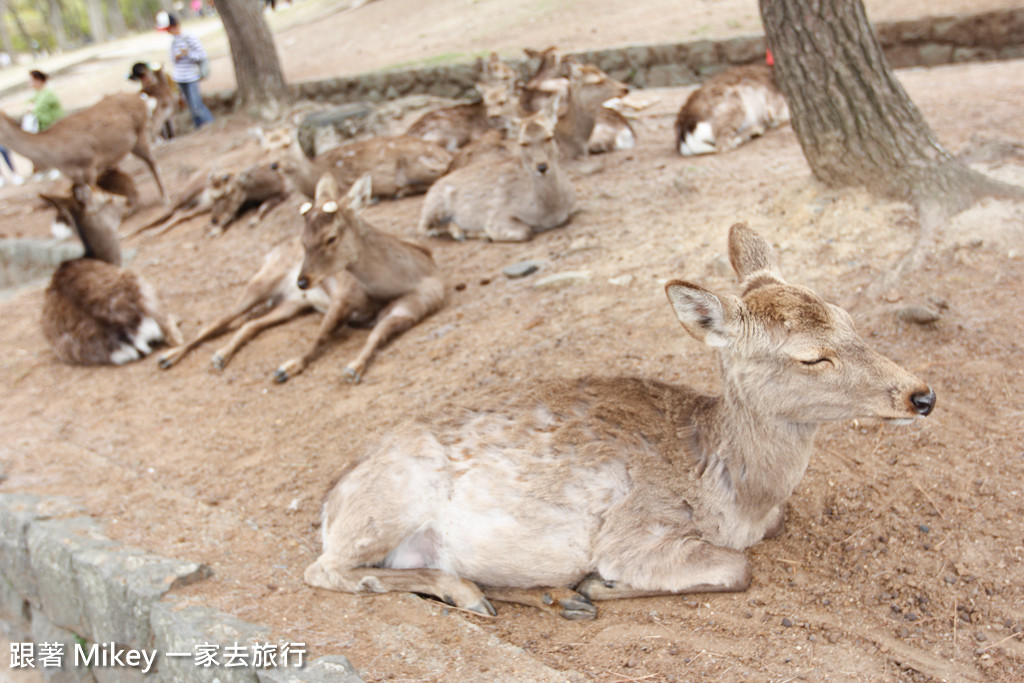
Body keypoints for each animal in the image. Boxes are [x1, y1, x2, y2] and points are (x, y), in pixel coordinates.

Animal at [0, 93, 165, 201]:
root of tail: (144, 100)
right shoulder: (72, 175)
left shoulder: (88, 164)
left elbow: (96, 196)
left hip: (141, 133)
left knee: (152, 162)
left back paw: (164, 198)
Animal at [38, 181, 184, 362]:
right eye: (108, 198)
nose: (127, 200)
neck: (99, 257)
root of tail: (127, 334)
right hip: (144, 286)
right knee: (174, 337)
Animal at [157, 174, 446, 385]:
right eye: (303, 238)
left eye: (331, 237)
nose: (303, 281)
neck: (403, 281)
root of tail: (270, 254)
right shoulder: (343, 296)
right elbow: (320, 336)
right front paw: (287, 367)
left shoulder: (414, 307)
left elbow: (377, 334)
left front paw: (353, 368)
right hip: (262, 282)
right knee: (216, 322)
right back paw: (168, 357)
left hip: (292, 304)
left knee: (250, 324)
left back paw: (219, 355)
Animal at [303, 224, 937, 618]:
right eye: (811, 357)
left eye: (846, 317)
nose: (922, 395)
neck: (738, 498)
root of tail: (330, 501)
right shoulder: (635, 534)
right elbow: (738, 569)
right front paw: (597, 582)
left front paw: (581, 590)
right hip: (388, 504)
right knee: (326, 570)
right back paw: (482, 592)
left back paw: (543, 597)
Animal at [415, 92, 577, 242]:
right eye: (523, 143)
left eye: (550, 136)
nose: (542, 167)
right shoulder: (498, 214)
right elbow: (525, 231)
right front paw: (489, 232)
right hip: (435, 206)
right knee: (425, 227)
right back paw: (463, 232)